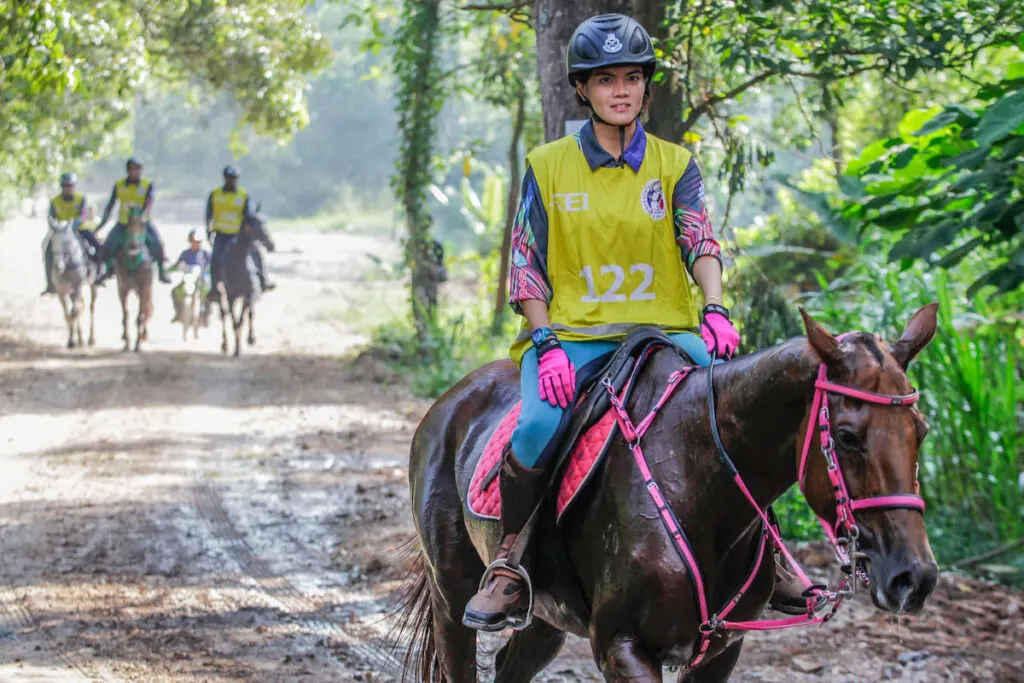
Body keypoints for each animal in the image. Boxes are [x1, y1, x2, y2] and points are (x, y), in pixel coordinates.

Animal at [115, 210, 152, 352]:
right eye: (127, 223)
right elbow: (125, 314)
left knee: (147, 309)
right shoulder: (122, 287)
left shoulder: (144, 288)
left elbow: (140, 315)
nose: (133, 246)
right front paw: (126, 341)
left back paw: (143, 335)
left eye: (143, 224)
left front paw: (137, 344)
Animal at [209, 209, 274, 358]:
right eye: (253, 224)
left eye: (265, 221)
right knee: (223, 314)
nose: (270, 244)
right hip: (221, 295)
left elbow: (245, 317)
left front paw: (248, 340)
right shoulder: (230, 296)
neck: (239, 262)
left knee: (249, 313)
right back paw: (224, 344)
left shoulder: (249, 293)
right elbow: (234, 321)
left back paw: (250, 337)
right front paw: (236, 349)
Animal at [397, 307, 937, 679]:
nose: (913, 577)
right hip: (452, 596)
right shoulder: (622, 647)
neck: (700, 486)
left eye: (922, 431)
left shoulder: (720, 652)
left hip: (546, 619)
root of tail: (450, 402)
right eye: (846, 436)